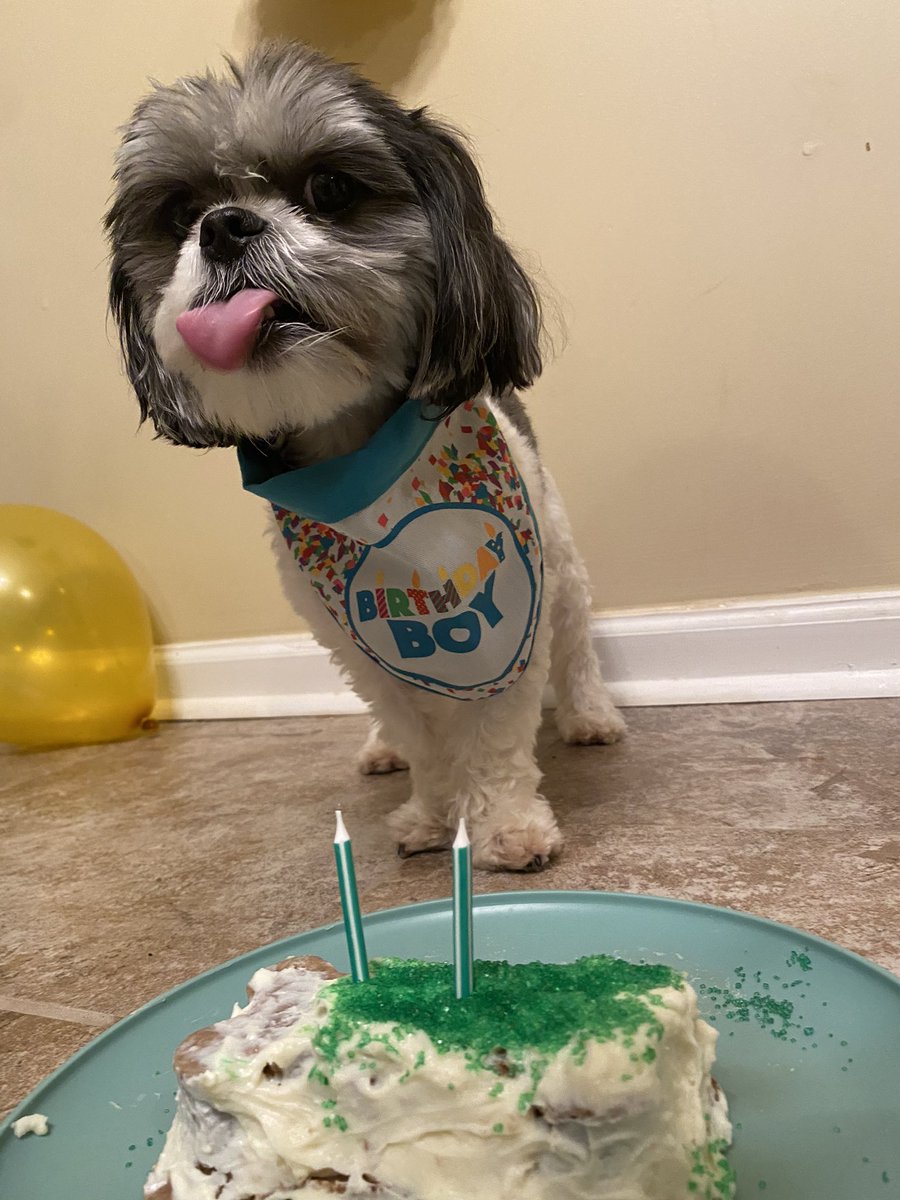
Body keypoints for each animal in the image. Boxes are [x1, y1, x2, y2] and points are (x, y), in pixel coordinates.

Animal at [107, 42, 628, 868]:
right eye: (181, 213)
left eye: (329, 189)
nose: (224, 226)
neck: (363, 466)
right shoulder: (355, 643)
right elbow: (423, 736)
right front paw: (433, 811)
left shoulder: (510, 608)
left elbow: (494, 734)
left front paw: (506, 824)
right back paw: (384, 750)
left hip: (560, 558)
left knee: (576, 641)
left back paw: (590, 715)